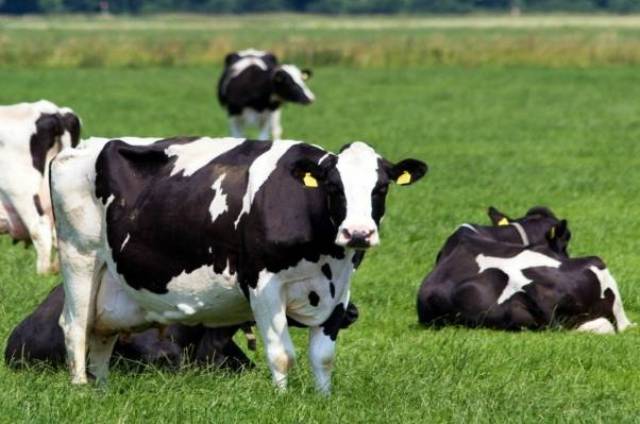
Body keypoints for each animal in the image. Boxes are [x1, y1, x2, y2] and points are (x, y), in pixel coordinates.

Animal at [51, 137, 426, 393]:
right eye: (334, 187)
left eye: (381, 188)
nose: (358, 233)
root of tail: (81, 147)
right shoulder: (263, 284)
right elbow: (281, 353)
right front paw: (282, 400)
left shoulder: (341, 287)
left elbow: (323, 356)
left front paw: (324, 399)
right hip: (79, 256)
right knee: (75, 325)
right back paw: (81, 389)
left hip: (112, 285)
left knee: (101, 332)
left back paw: (102, 389)